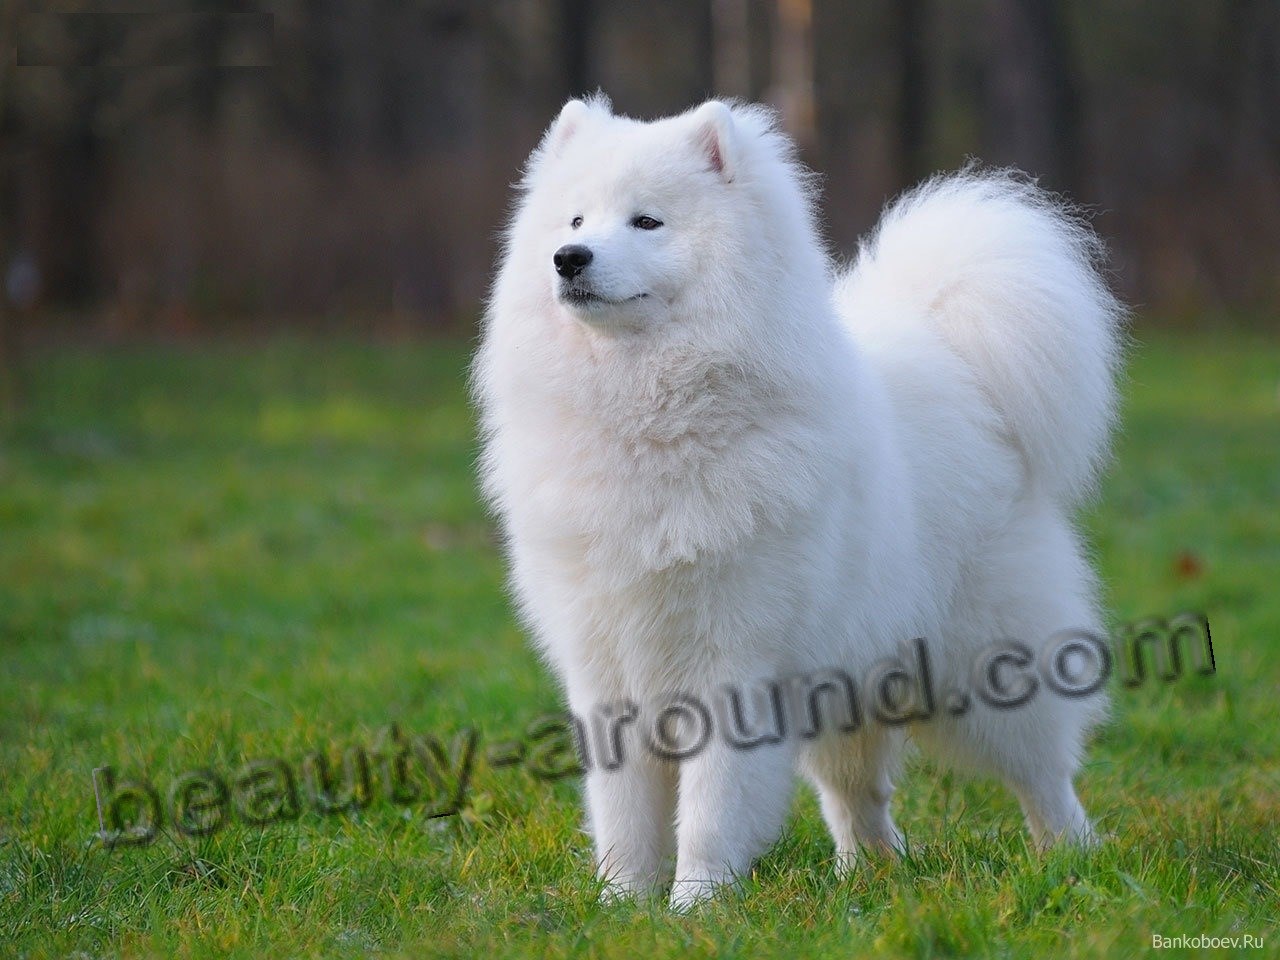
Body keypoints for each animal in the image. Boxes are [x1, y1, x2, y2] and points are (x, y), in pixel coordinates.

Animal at [476, 96, 1126, 911]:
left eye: (646, 222)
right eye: (574, 220)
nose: (570, 259)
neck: (644, 420)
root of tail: (952, 357)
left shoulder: (733, 663)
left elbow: (712, 806)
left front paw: (695, 905)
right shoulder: (606, 668)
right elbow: (623, 811)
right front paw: (621, 904)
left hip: (989, 663)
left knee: (1042, 773)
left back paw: (1072, 858)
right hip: (845, 681)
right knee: (858, 796)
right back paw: (865, 876)